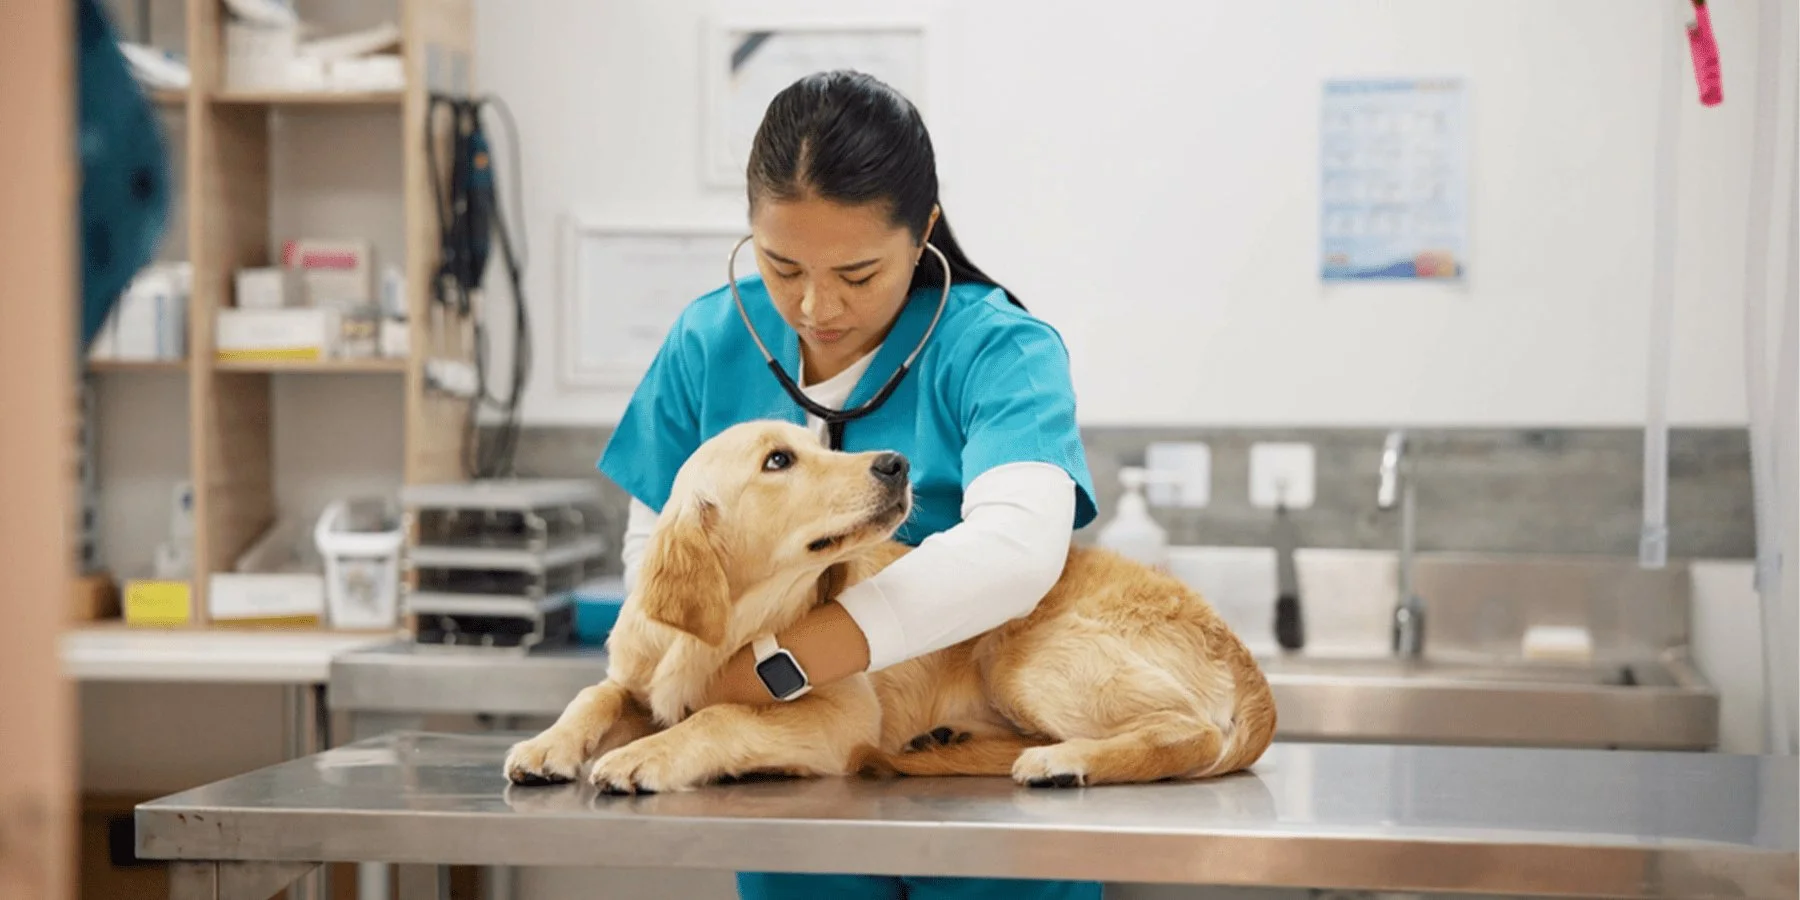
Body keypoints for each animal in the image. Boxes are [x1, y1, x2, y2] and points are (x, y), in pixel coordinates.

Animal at [500, 417, 1274, 792]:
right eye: (778, 461)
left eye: (814, 443)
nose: (896, 463)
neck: (732, 627)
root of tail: (1243, 655)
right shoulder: (638, 673)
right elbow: (597, 695)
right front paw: (546, 745)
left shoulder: (843, 715)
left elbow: (722, 714)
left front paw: (649, 755)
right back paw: (957, 743)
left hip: (1017, 651)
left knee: (1189, 734)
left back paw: (1064, 761)